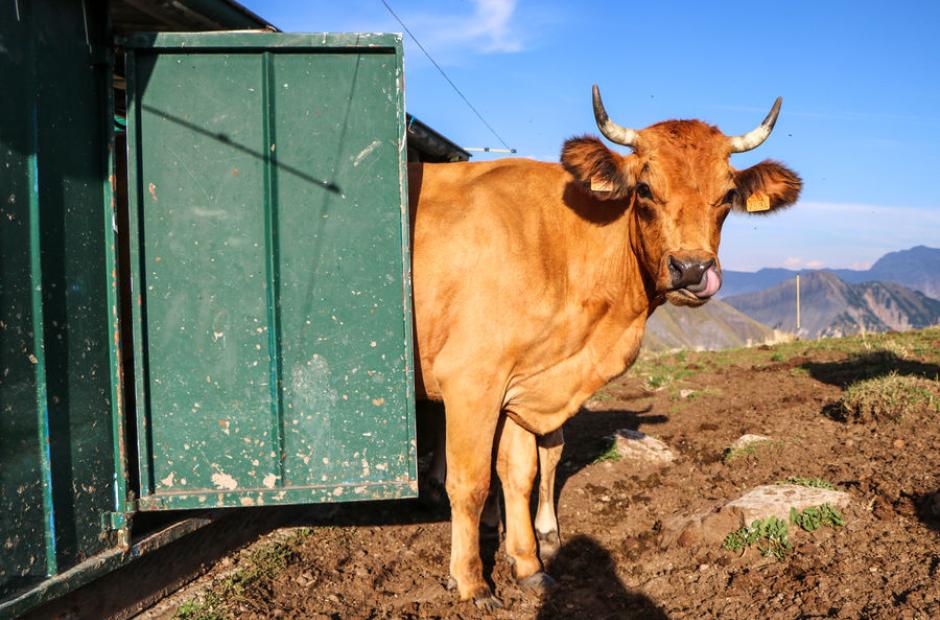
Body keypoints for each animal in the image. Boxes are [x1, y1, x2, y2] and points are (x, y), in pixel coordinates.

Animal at [408, 85, 801, 609]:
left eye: (726, 196)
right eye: (645, 189)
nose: (693, 270)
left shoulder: (524, 383)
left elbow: (520, 472)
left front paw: (529, 564)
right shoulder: (472, 379)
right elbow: (471, 482)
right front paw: (472, 581)